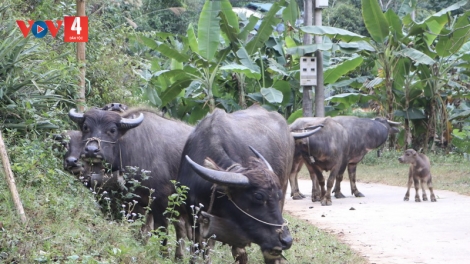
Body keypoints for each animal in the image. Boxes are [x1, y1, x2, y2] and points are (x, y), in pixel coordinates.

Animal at [68, 106, 193, 258]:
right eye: (86, 127)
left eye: (112, 130)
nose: (91, 150)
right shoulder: (134, 203)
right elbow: (138, 231)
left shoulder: (162, 203)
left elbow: (161, 233)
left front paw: (163, 255)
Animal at [177, 105, 324, 264]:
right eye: (258, 196)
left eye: (277, 196)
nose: (286, 240)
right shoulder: (195, 218)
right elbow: (199, 249)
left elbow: (239, 252)